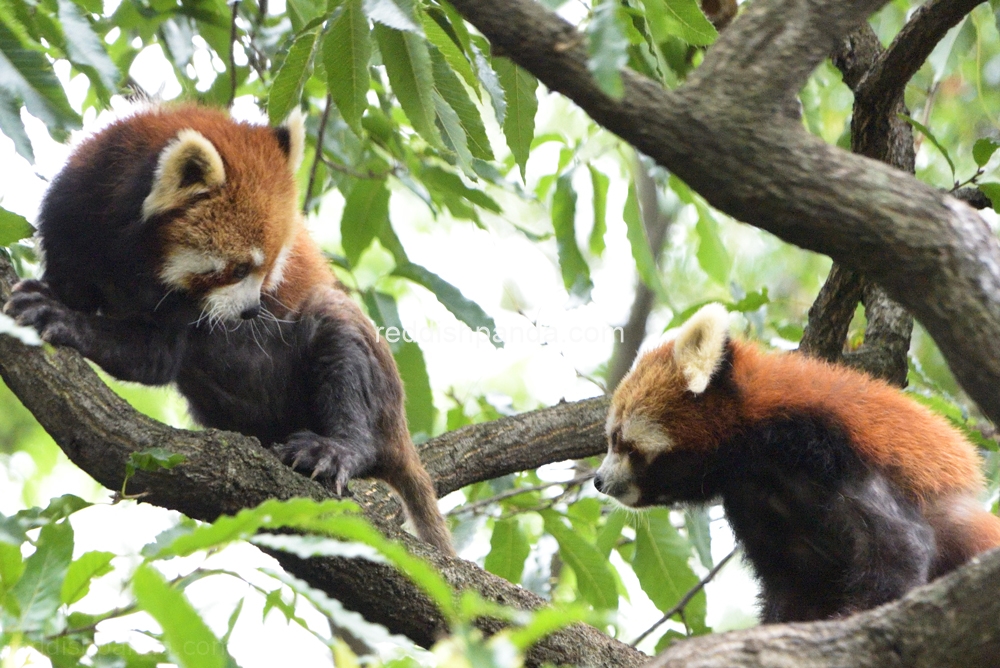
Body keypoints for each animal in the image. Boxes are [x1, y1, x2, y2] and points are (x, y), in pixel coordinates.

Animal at [3, 103, 454, 552]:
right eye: (239, 269)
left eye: (269, 269)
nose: (252, 312)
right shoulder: (73, 214)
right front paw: (53, 296)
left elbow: (153, 355)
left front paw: (60, 318)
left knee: (340, 342)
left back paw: (336, 449)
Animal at [592, 306, 1000, 624]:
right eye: (610, 438)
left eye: (623, 444)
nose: (598, 481)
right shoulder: (754, 502)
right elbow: (798, 584)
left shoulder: (835, 450)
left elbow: (900, 549)